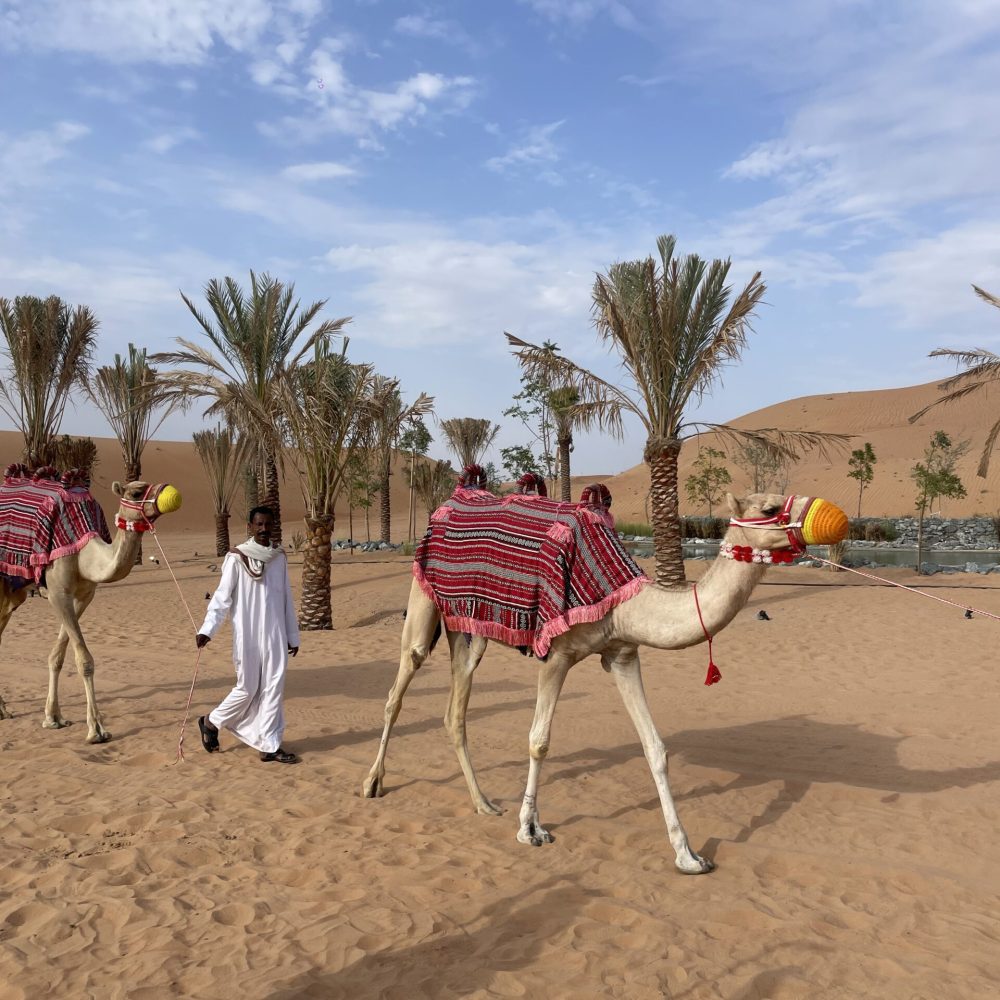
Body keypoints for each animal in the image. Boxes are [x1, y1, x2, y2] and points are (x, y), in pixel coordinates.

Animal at [0, 474, 182, 743]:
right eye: (137, 492)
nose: (172, 494)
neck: (84, 555)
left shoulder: (84, 596)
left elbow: (57, 656)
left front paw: (53, 717)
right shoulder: (57, 593)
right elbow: (84, 660)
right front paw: (96, 729)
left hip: (13, 591)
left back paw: (3, 710)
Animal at [364, 490, 848, 874]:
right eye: (770, 508)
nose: (836, 517)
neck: (622, 600)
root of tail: (445, 504)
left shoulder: (622, 654)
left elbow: (655, 747)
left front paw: (688, 855)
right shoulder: (556, 652)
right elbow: (539, 740)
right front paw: (530, 829)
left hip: (470, 627)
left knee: (455, 709)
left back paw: (483, 803)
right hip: (424, 597)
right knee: (398, 686)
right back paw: (373, 783)